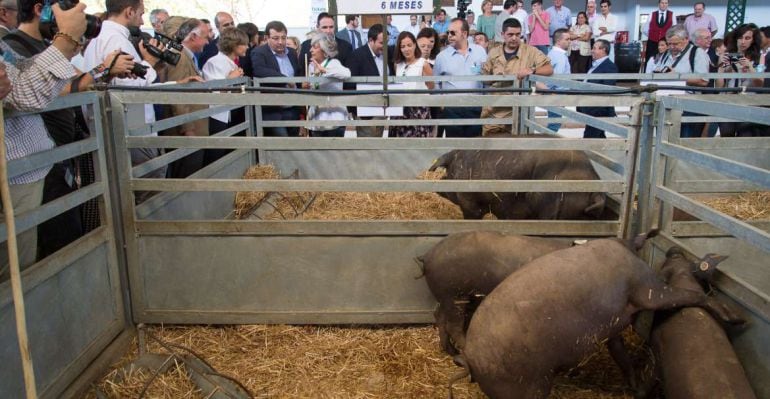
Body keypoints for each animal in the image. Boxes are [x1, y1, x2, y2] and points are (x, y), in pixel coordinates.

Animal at [414, 231, 568, 356]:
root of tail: (427, 256)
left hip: (446, 297)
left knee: (439, 316)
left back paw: (451, 351)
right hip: (454, 295)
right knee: (453, 326)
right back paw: (463, 350)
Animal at [452, 239, 740, 398]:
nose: (674, 248)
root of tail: (470, 360)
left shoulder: (613, 327)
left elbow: (621, 355)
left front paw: (635, 388)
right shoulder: (647, 290)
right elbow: (687, 295)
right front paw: (737, 319)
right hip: (523, 387)